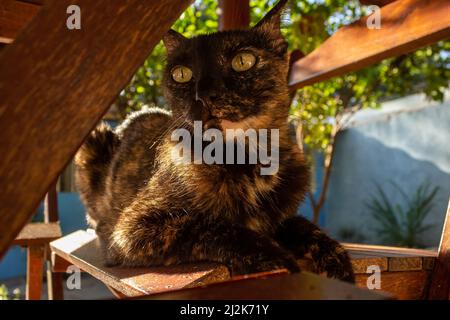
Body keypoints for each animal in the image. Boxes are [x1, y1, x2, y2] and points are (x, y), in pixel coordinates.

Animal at [74, 1, 356, 282]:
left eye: (243, 61)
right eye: (182, 74)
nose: (205, 94)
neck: (248, 161)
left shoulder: (282, 216)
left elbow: (304, 226)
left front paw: (336, 261)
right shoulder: (131, 229)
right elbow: (209, 226)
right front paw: (275, 256)